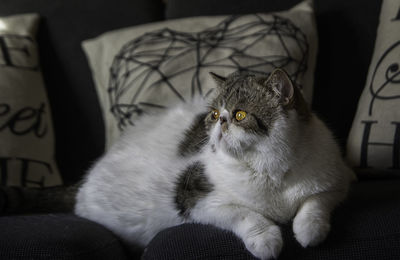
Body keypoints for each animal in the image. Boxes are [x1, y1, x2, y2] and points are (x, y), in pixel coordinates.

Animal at [73, 68, 354, 258]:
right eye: (215, 113)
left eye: (240, 115)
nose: (221, 121)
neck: (269, 168)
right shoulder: (199, 201)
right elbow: (246, 215)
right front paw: (266, 241)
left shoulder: (337, 181)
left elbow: (315, 203)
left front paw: (309, 231)